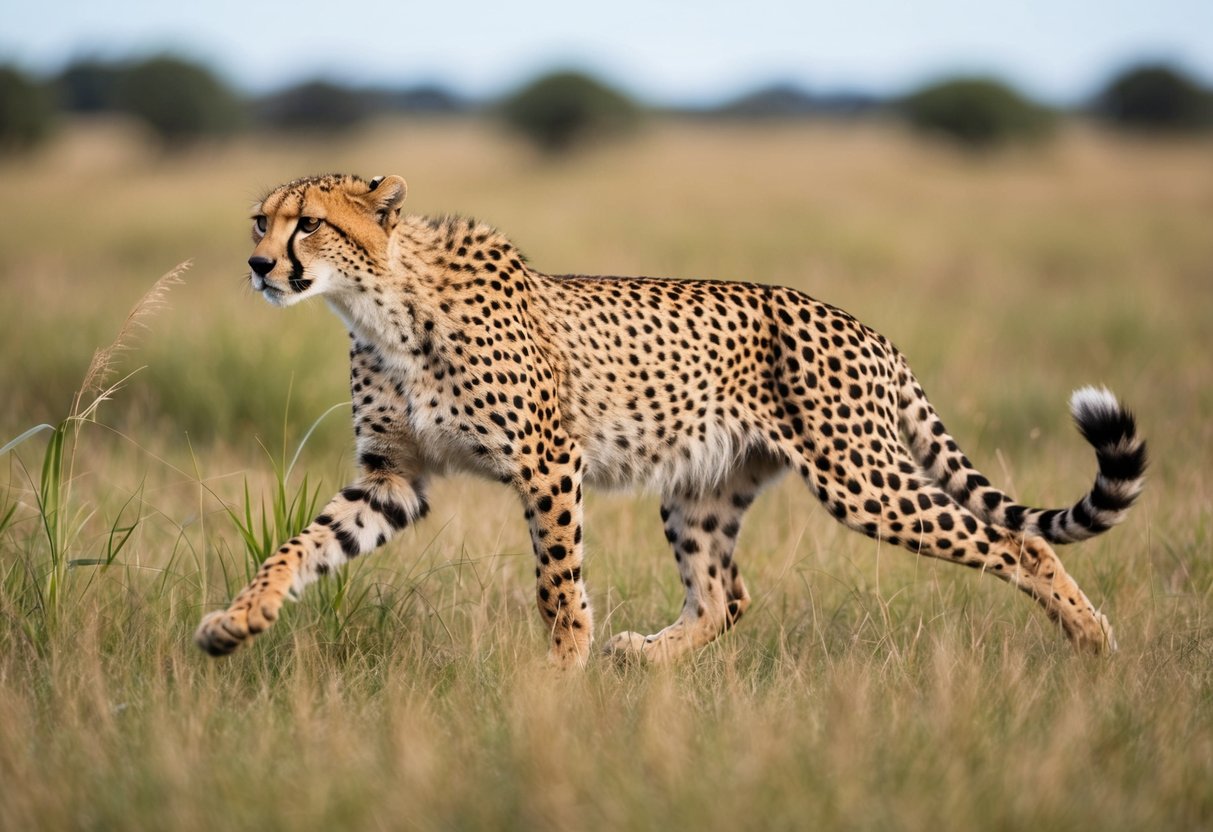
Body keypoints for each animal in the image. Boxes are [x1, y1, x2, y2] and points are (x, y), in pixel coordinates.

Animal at [195, 172, 1147, 667]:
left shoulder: (548, 461)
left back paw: (1092, 639)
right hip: (703, 487)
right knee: (726, 595)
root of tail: (861, 323)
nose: (256, 265)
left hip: (861, 480)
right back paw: (645, 654)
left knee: (1017, 542)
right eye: (260, 219)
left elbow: (556, 577)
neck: (377, 302)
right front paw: (236, 620)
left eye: (308, 225)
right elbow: (302, 547)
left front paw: (562, 666)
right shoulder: (395, 477)